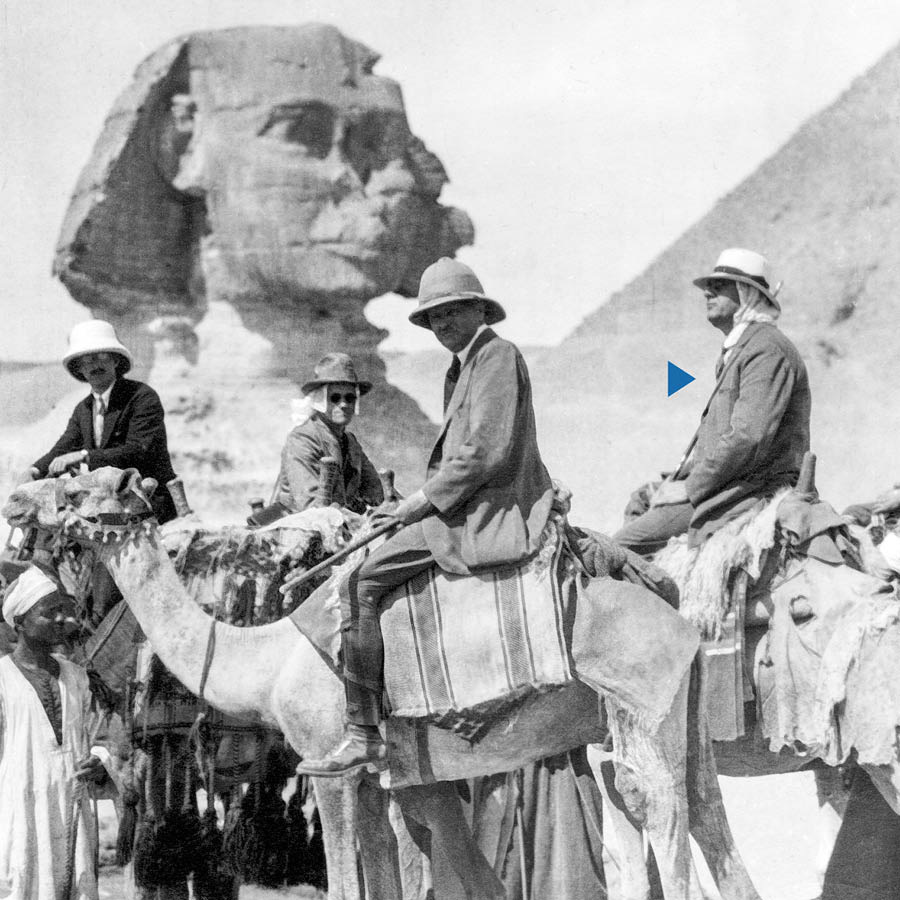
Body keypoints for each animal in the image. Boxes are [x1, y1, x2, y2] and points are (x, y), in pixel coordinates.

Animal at [5, 468, 768, 896]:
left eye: (74, 487)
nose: (14, 500)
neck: (269, 656)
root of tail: (678, 608)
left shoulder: (329, 763)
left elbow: (351, 877)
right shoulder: (387, 775)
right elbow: (389, 871)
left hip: (640, 708)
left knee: (656, 811)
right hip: (680, 715)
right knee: (705, 818)